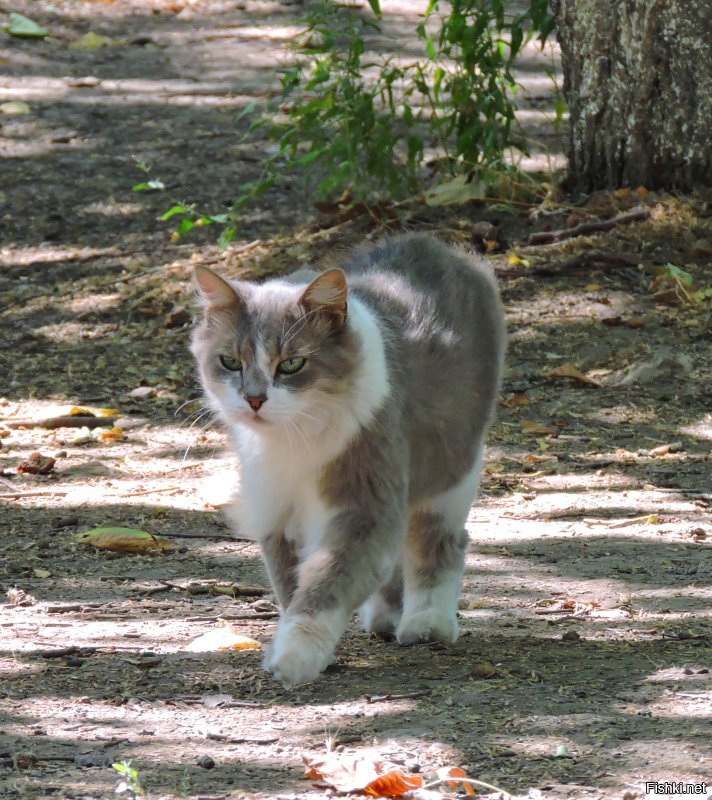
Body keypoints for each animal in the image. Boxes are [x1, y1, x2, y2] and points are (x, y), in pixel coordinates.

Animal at [191, 233, 506, 688]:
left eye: (291, 364)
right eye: (230, 361)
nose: (253, 399)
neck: (294, 438)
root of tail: (433, 243)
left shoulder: (364, 504)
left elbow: (325, 585)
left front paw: (295, 656)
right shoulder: (278, 510)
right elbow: (292, 586)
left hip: (452, 469)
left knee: (438, 541)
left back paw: (427, 622)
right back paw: (385, 617)